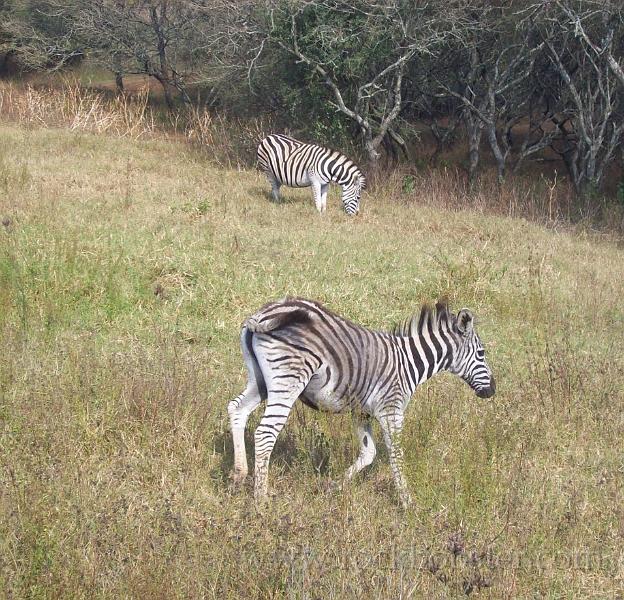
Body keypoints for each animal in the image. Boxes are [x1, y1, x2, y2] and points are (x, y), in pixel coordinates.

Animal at [227, 298, 494, 508]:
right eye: (481, 354)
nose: (492, 390)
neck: (409, 363)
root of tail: (265, 314)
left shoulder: (360, 412)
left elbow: (368, 453)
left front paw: (332, 486)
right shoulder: (391, 408)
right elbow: (395, 454)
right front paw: (407, 502)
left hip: (260, 381)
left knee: (237, 409)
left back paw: (239, 474)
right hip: (288, 380)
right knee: (265, 433)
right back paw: (261, 499)